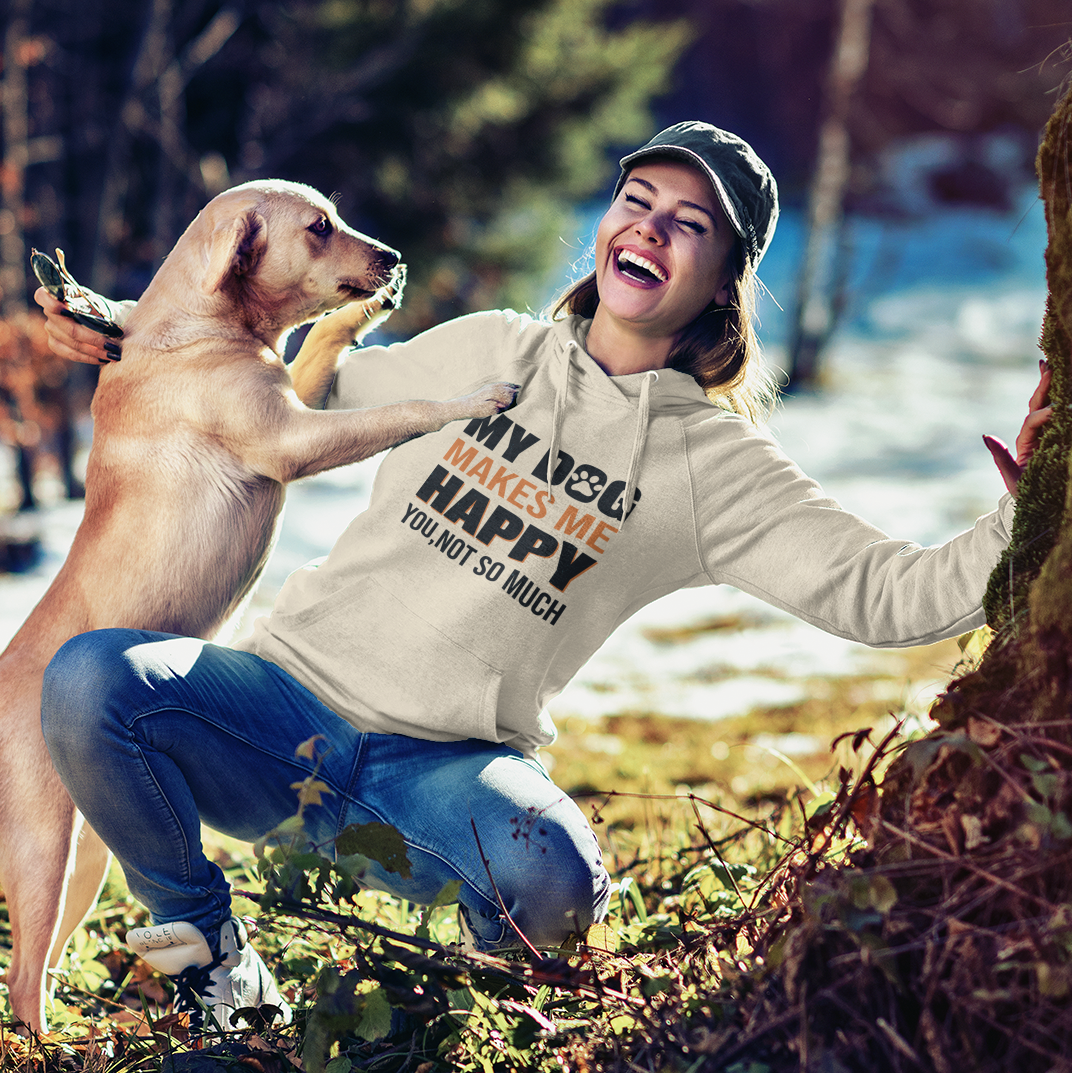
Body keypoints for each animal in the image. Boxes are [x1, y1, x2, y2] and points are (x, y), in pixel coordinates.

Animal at [0, 178, 519, 1030]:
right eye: (318, 228)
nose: (394, 256)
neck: (201, 328)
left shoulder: (295, 400)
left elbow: (322, 346)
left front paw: (363, 313)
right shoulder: (295, 441)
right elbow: (403, 411)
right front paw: (476, 395)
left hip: (86, 858)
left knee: (39, 963)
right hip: (42, 850)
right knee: (19, 976)